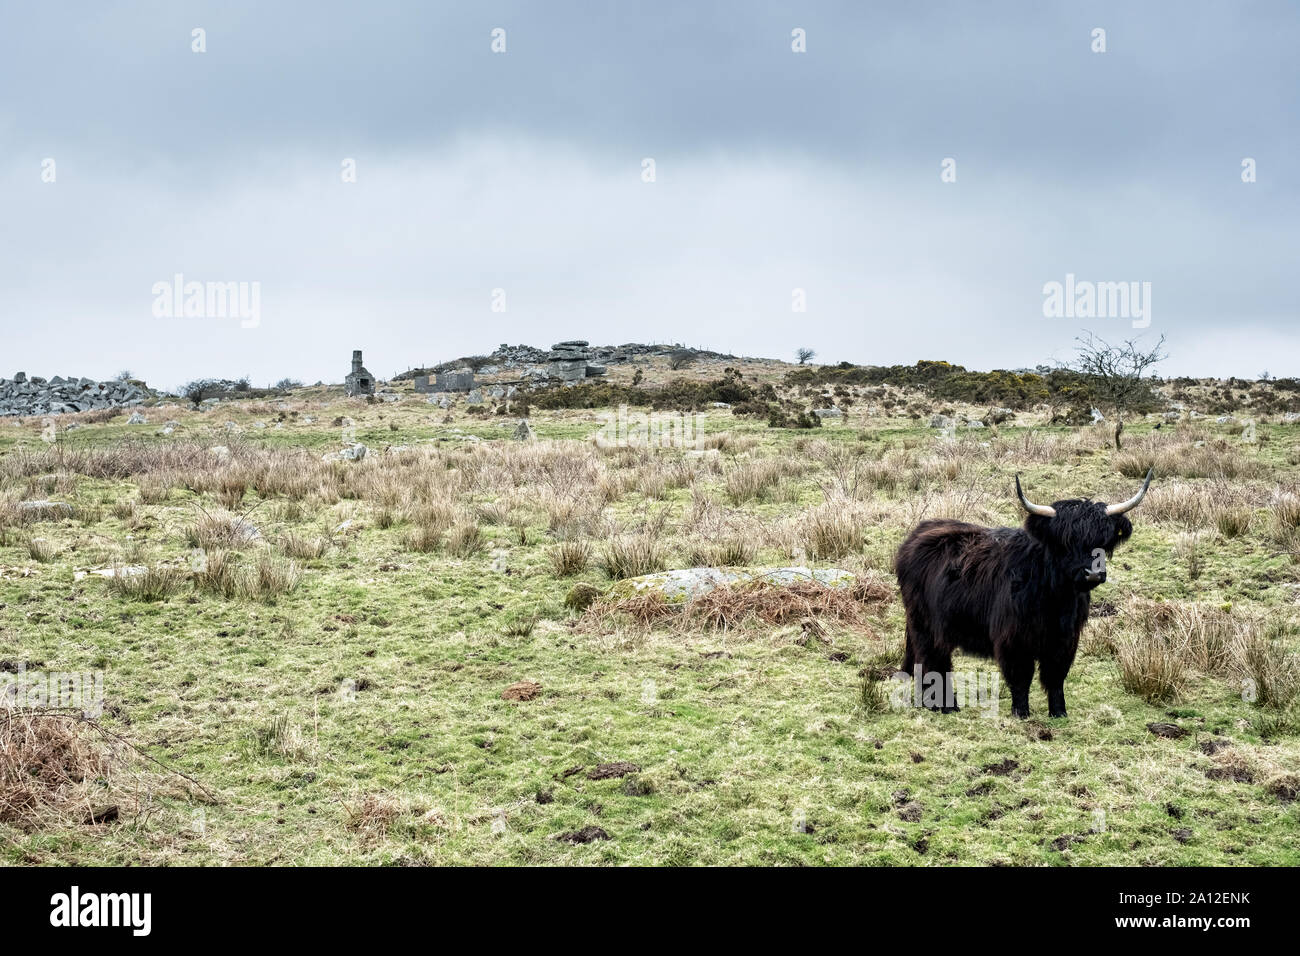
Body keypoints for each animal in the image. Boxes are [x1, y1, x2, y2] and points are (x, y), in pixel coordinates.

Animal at [895, 469, 1153, 719]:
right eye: (1065, 541)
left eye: (1103, 541)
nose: (1093, 573)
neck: (1056, 600)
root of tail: (918, 533)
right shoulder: (1014, 638)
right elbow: (1021, 676)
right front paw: (1021, 713)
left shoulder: (1065, 640)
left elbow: (1055, 676)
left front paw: (1059, 712)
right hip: (926, 624)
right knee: (933, 660)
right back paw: (947, 706)